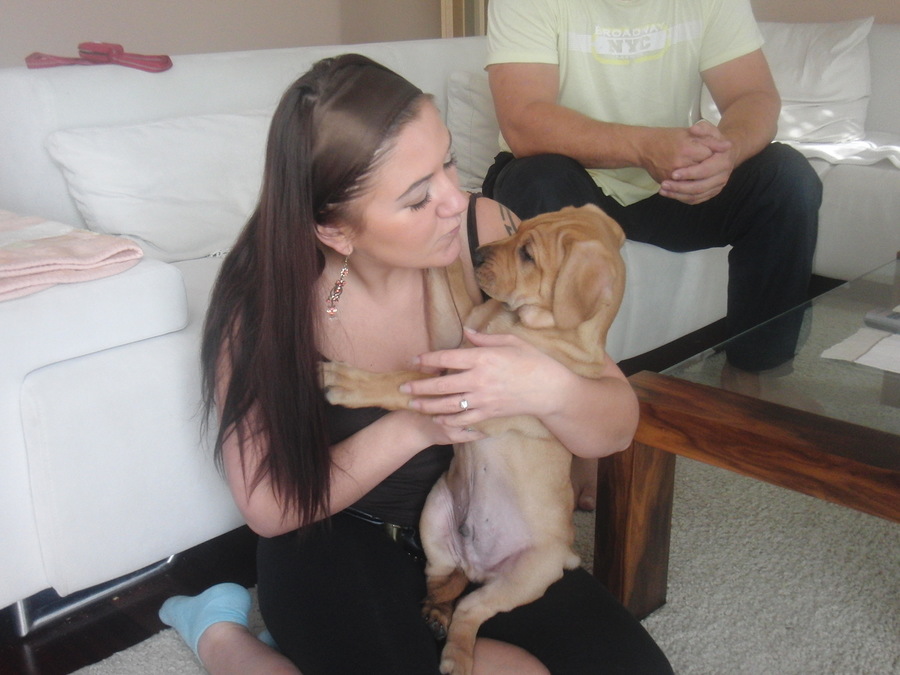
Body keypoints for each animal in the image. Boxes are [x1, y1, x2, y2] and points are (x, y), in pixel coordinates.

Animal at [321, 204, 626, 675]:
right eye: (517, 229)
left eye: (527, 255)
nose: (478, 253)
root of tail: (479, 563)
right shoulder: (457, 332)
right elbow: (444, 284)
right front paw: (441, 238)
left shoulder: (464, 384)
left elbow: (404, 382)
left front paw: (349, 383)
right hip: (434, 516)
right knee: (445, 579)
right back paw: (435, 614)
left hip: (528, 574)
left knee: (472, 609)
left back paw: (457, 655)